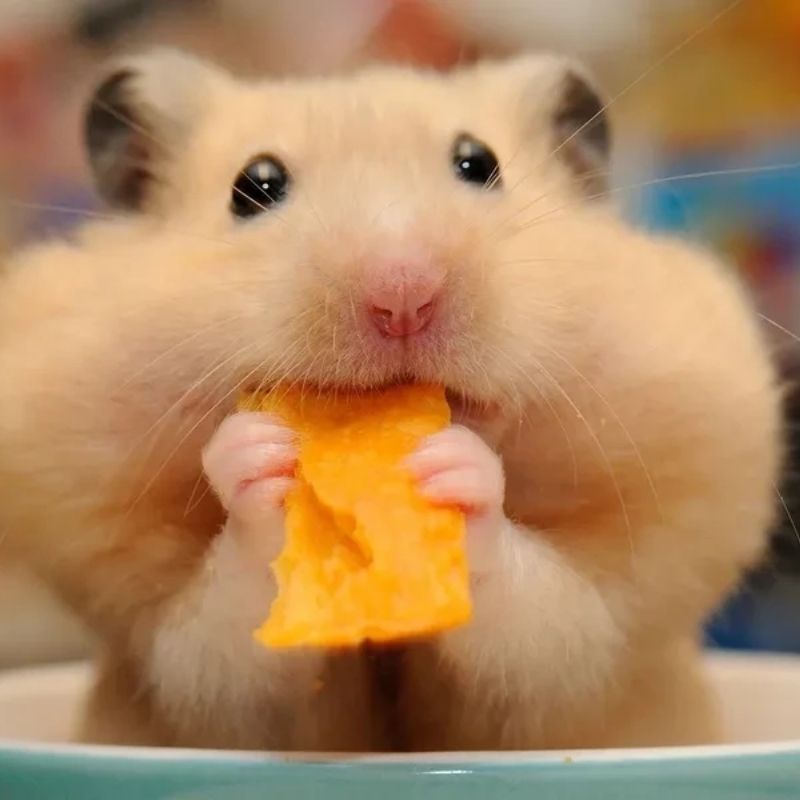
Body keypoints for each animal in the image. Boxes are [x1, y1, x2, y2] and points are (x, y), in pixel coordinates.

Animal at [0, 49, 780, 751]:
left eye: (479, 163)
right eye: (254, 186)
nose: (403, 292)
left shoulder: (588, 655)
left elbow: (541, 624)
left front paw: (455, 469)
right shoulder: (179, 668)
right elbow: (225, 642)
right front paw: (257, 454)